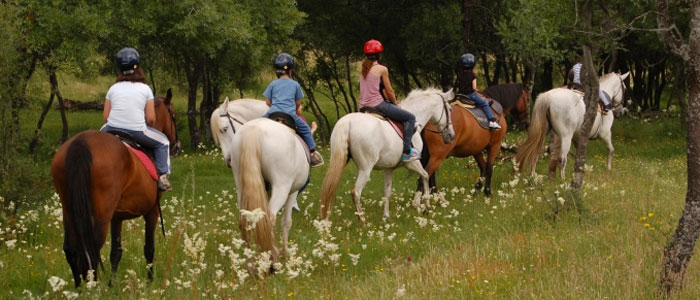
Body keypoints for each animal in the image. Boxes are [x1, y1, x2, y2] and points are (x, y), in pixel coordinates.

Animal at [50, 88, 179, 288]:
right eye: (173, 115)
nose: (176, 146)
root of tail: (81, 142)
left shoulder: (116, 217)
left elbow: (116, 252)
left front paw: (112, 284)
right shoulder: (152, 211)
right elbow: (149, 248)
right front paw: (149, 281)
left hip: (69, 209)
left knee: (70, 248)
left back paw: (78, 287)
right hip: (101, 214)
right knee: (92, 249)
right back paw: (93, 287)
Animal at [208, 100, 306, 260]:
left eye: (224, 129)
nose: (228, 160)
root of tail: (254, 129)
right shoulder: (293, 191)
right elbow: (286, 222)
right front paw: (285, 253)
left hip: (242, 188)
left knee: (244, 220)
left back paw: (251, 259)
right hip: (281, 188)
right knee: (269, 218)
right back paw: (273, 255)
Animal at [320, 88, 456, 224]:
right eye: (449, 109)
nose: (451, 135)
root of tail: (347, 122)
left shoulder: (389, 168)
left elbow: (387, 191)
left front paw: (386, 216)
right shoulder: (412, 163)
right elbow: (425, 176)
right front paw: (426, 207)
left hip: (337, 162)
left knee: (330, 188)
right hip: (365, 169)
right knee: (356, 192)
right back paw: (362, 221)